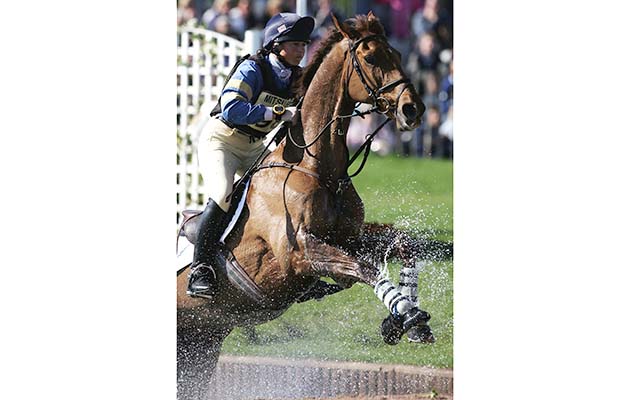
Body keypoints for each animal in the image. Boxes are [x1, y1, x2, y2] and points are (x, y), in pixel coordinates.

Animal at [178, 11, 440, 396]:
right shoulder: (299, 251)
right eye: (371, 58)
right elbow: (365, 269)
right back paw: (200, 279)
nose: (413, 109)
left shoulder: (348, 237)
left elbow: (402, 244)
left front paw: (408, 323)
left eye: (397, 54)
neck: (317, 168)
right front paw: (406, 315)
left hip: (200, 342)